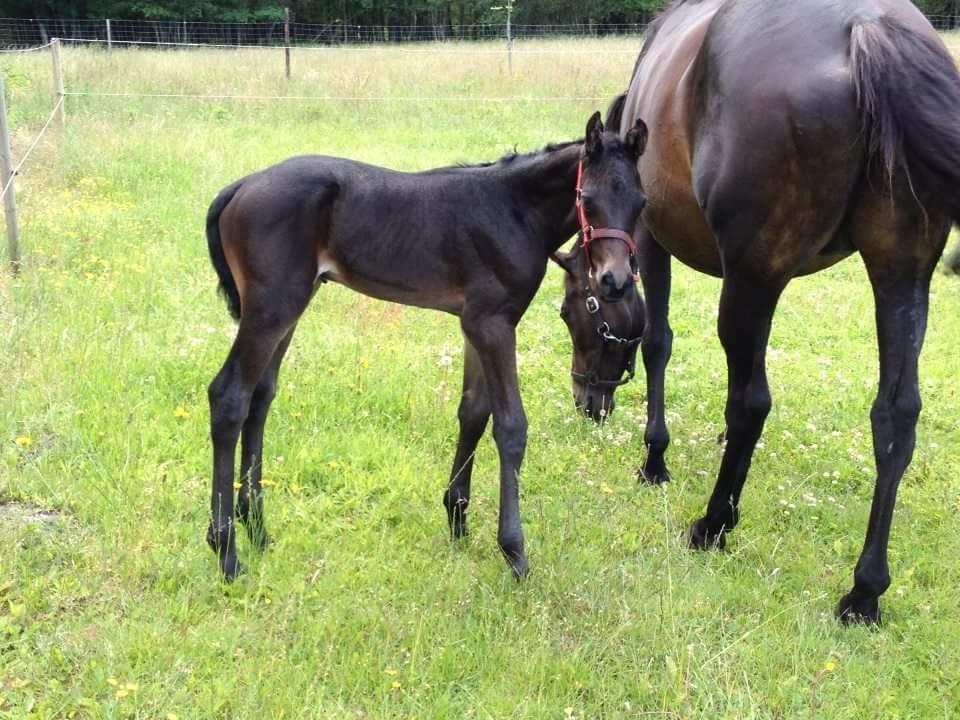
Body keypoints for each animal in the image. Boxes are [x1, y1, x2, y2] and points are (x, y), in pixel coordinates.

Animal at [205, 114, 648, 584]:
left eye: (640, 203)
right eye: (587, 199)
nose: (615, 280)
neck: (515, 212)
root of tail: (240, 186)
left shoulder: (477, 324)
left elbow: (473, 413)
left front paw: (458, 520)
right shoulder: (493, 325)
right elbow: (511, 427)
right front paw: (515, 552)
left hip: (289, 307)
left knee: (260, 396)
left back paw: (257, 529)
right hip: (272, 308)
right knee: (229, 397)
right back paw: (226, 551)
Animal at [604, 0, 960, 620]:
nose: (591, 407)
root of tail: (866, 27)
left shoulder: (649, 238)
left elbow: (657, 342)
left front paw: (655, 460)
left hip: (751, 282)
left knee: (750, 402)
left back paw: (713, 524)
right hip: (901, 274)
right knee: (896, 417)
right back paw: (864, 592)